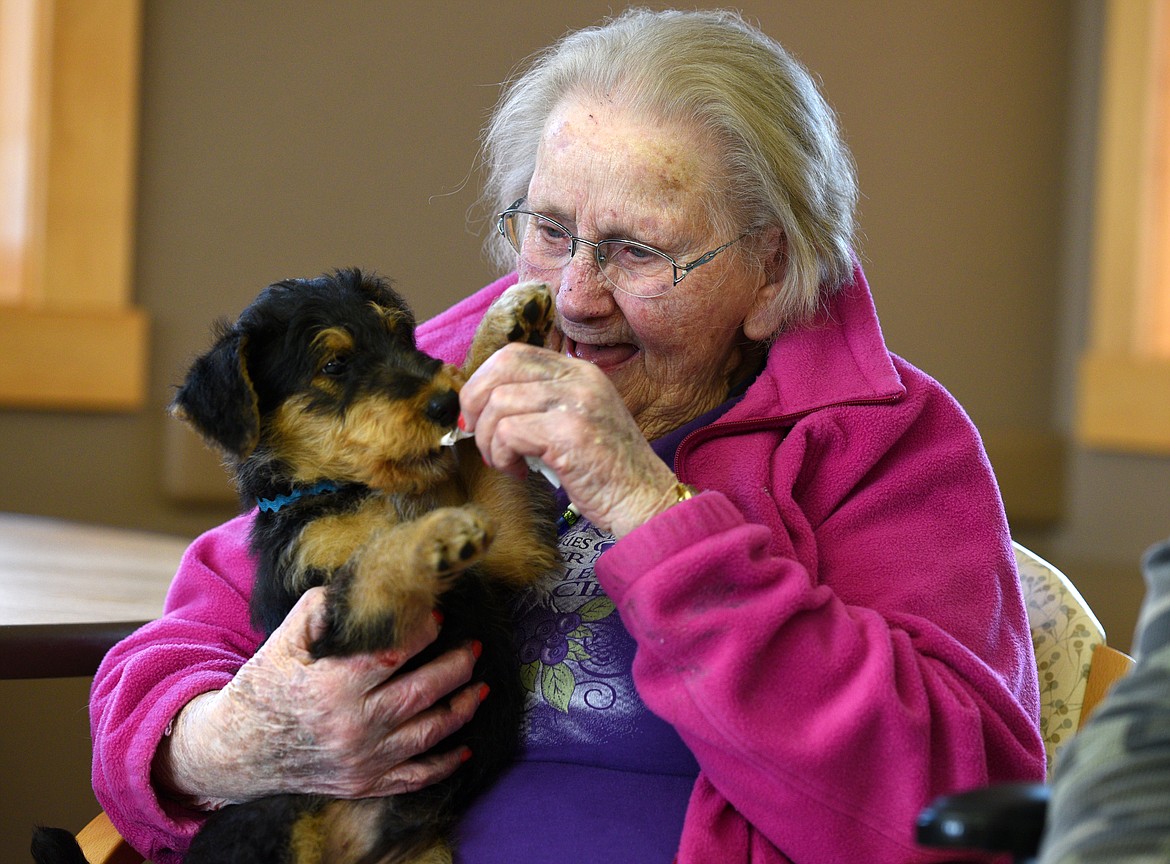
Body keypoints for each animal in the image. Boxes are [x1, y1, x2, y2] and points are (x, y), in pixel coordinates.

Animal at [175, 269, 559, 861]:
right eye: (334, 365)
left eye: (399, 333)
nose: (445, 403)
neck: (352, 489)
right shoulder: (334, 619)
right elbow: (376, 556)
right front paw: (433, 533)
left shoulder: (504, 543)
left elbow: (478, 462)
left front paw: (507, 325)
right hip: (278, 816)